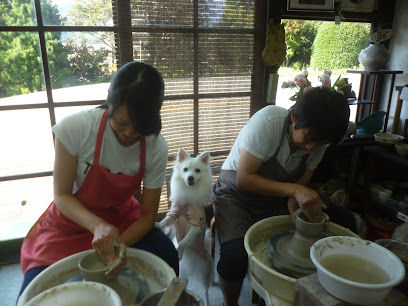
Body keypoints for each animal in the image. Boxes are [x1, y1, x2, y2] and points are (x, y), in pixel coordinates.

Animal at [157, 147, 214, 304]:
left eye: (197, 171)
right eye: (185, 170)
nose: (190, 178)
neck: (189, 192)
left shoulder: (195, 225)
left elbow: (184, 241)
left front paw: (179, 250)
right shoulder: (174, 213)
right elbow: (166, 220)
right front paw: (158, 225)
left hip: (205, 273)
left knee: (206, 290)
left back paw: (206, 301)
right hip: (182, 271)